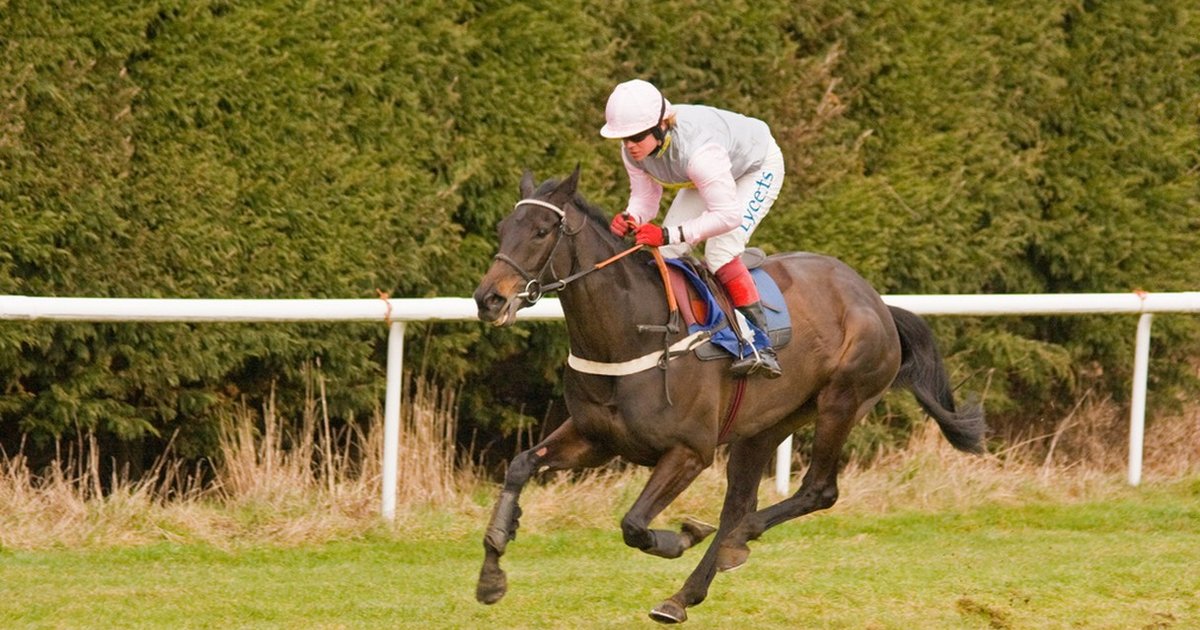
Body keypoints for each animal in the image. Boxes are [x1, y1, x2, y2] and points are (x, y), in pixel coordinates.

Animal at [472, 168, 985, 624]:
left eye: (541, 231)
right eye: (502, 229)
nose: (488, 299)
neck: (630, 332)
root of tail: (875, 300)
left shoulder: (690, 451)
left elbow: (634, 524)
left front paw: (682, 536)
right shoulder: (595, 437)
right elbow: (520, 465)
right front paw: (492, 570)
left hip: (841, 401)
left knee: (813, 492)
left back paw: (737, 541)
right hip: (763, 427)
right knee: (740, 502)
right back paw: (684, 594)